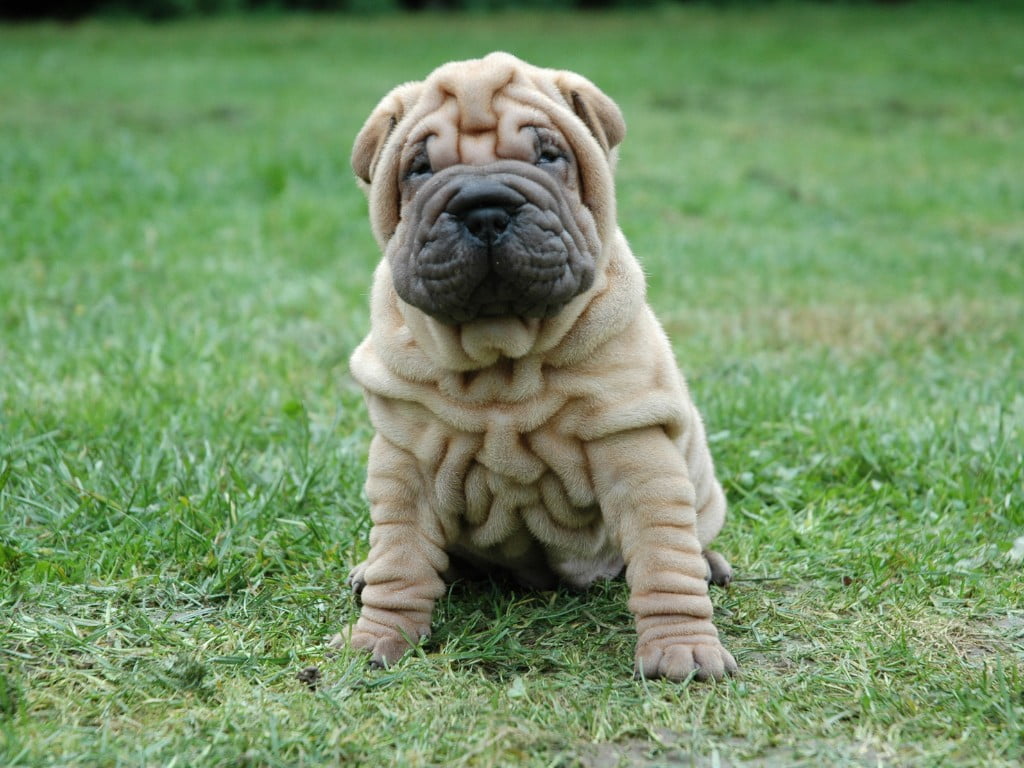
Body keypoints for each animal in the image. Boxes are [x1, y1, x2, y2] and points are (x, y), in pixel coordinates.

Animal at [342, 51, 737, 684]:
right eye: (420, 168)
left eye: (549, 157)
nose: (483, 208)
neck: (503, 362)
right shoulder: (406, 462)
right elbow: (401, 559)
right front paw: (378, 639)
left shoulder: (635, 448)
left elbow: (663, 561)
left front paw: (683, 649)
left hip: (704, 490)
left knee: (691, 542)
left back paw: (712, 564)